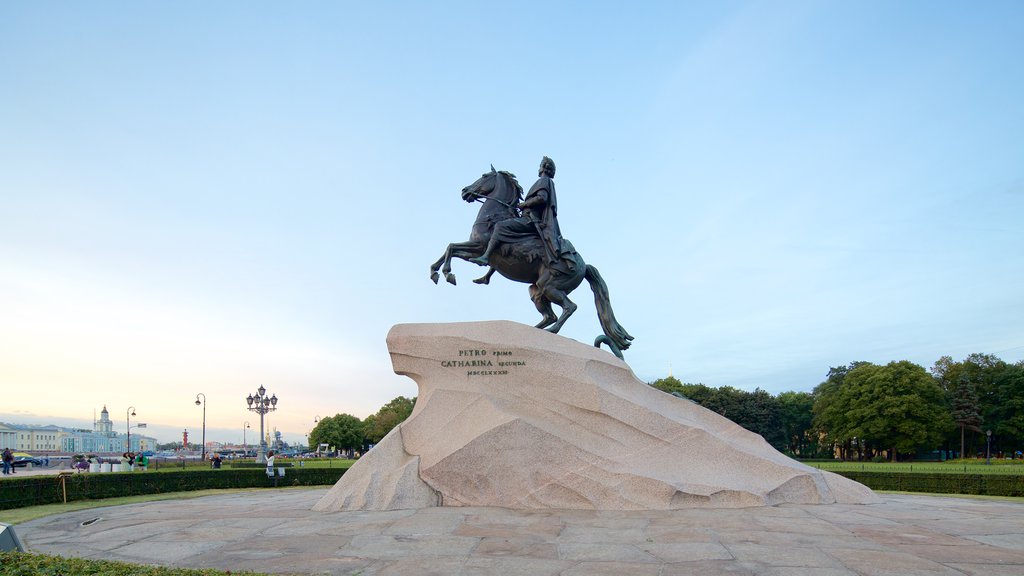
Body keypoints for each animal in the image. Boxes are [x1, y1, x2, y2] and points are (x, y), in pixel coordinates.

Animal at [425, 163, 630, 356]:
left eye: (484, 176)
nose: (465, 191)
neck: (495, 216)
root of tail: (584, 266)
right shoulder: (473, 250)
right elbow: (449, 248)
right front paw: (436, 272)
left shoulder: (479, 247)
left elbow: (452, 248)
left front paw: (447, 274)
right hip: (536, 290)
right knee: (550, 315)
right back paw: (535, 331)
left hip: (550, 287)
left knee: (569, 307)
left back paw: (552, 331)